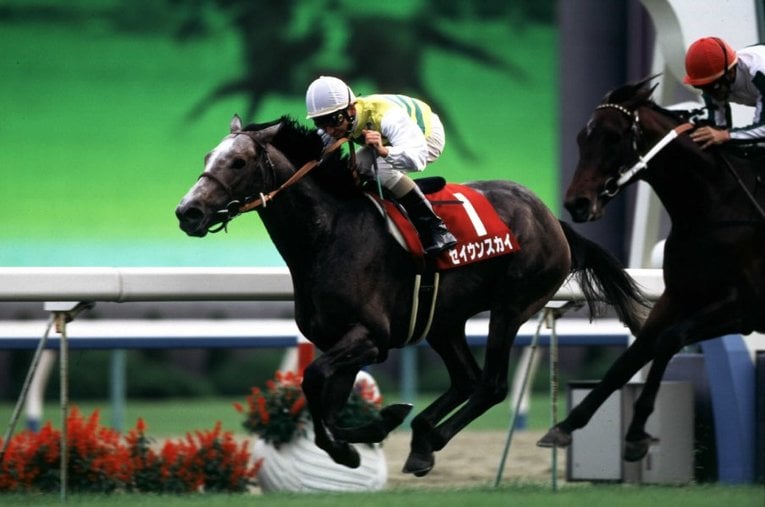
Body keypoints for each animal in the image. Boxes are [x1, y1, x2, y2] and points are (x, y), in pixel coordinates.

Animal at [175, 114, 648, 476]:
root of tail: (550, 216)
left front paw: (375, 426)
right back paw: (420, 438)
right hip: (444, 322)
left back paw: (430, 438)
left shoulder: (371, 337)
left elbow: (313, 380)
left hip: (512, 306)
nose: (187, 212)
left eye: (237, 162)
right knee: (467, 379)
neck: (327, 235)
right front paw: (356, 442)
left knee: (491, 385)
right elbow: (325, 403)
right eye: (206, 158)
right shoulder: (341, 342)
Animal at [538, 76, 765, 461]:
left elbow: (668, 339)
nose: (577, 204)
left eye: (613, 137)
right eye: (582, 138)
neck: (715, 208)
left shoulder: (744, 306)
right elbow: (635, 353)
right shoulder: (678, 296)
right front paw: (566, 426)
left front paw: (636, 432)